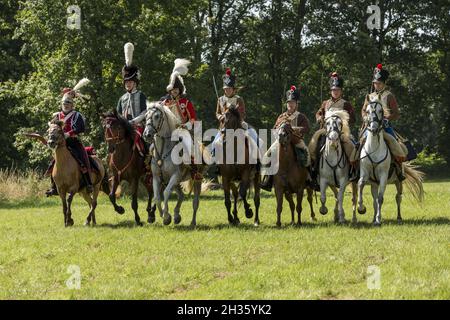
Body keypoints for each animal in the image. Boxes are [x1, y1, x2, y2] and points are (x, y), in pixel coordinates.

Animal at [356, 97, 424, 225]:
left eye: (380, 111)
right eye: (367, 111)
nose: (374, 128)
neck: (374, 148)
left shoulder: (383, 176)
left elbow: (381, 198)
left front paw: (378, 219)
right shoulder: (364, 173)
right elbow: (361, 185)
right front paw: (361, 208)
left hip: (398, 182)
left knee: (398, 197)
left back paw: (399, 217)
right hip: (374, 184)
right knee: (374, 199)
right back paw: (373, 217)